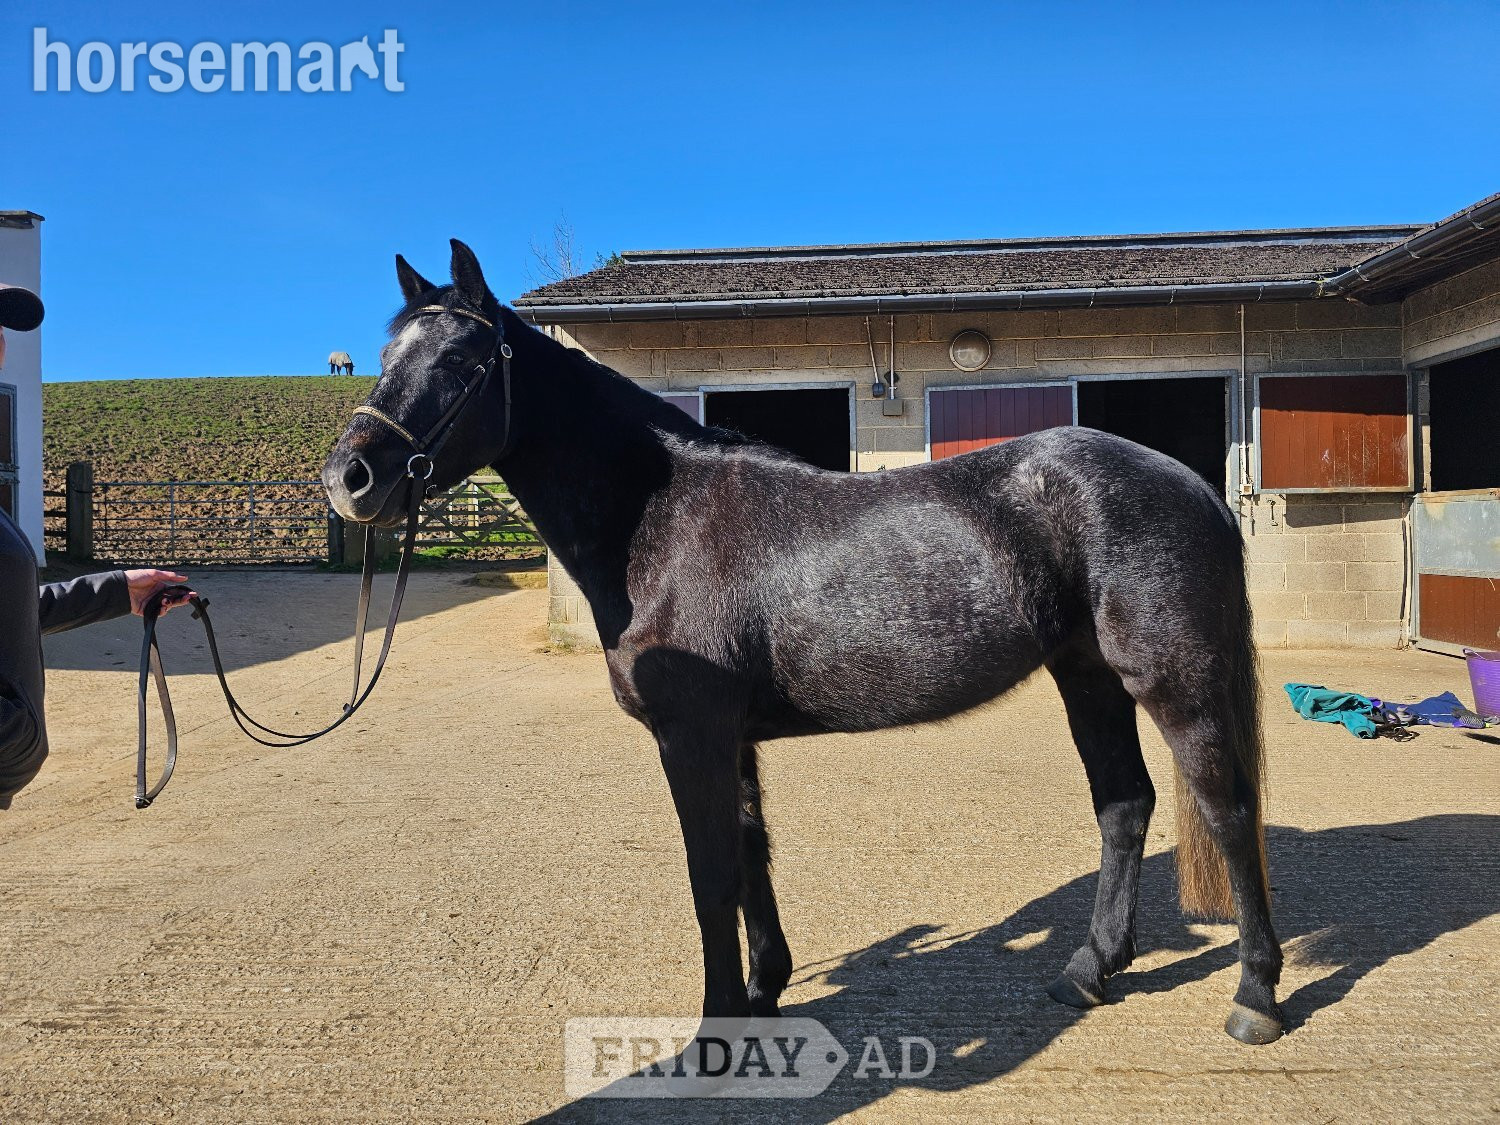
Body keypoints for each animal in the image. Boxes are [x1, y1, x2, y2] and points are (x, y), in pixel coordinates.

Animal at [322, 240, 1284, 1046]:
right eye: (385, 359)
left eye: (462, 361)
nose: (350, 477)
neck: (658, 518)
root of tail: (1191, 481)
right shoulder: (730, 739)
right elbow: (751, 855)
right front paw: (762, 991)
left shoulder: (692, 736)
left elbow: (710, 872)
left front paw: (714, 1027)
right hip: (1086, 676)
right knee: (1123, 805)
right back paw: (1088, 972)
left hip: (1173, 681)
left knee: (1229, 809)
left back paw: (1255, 997)